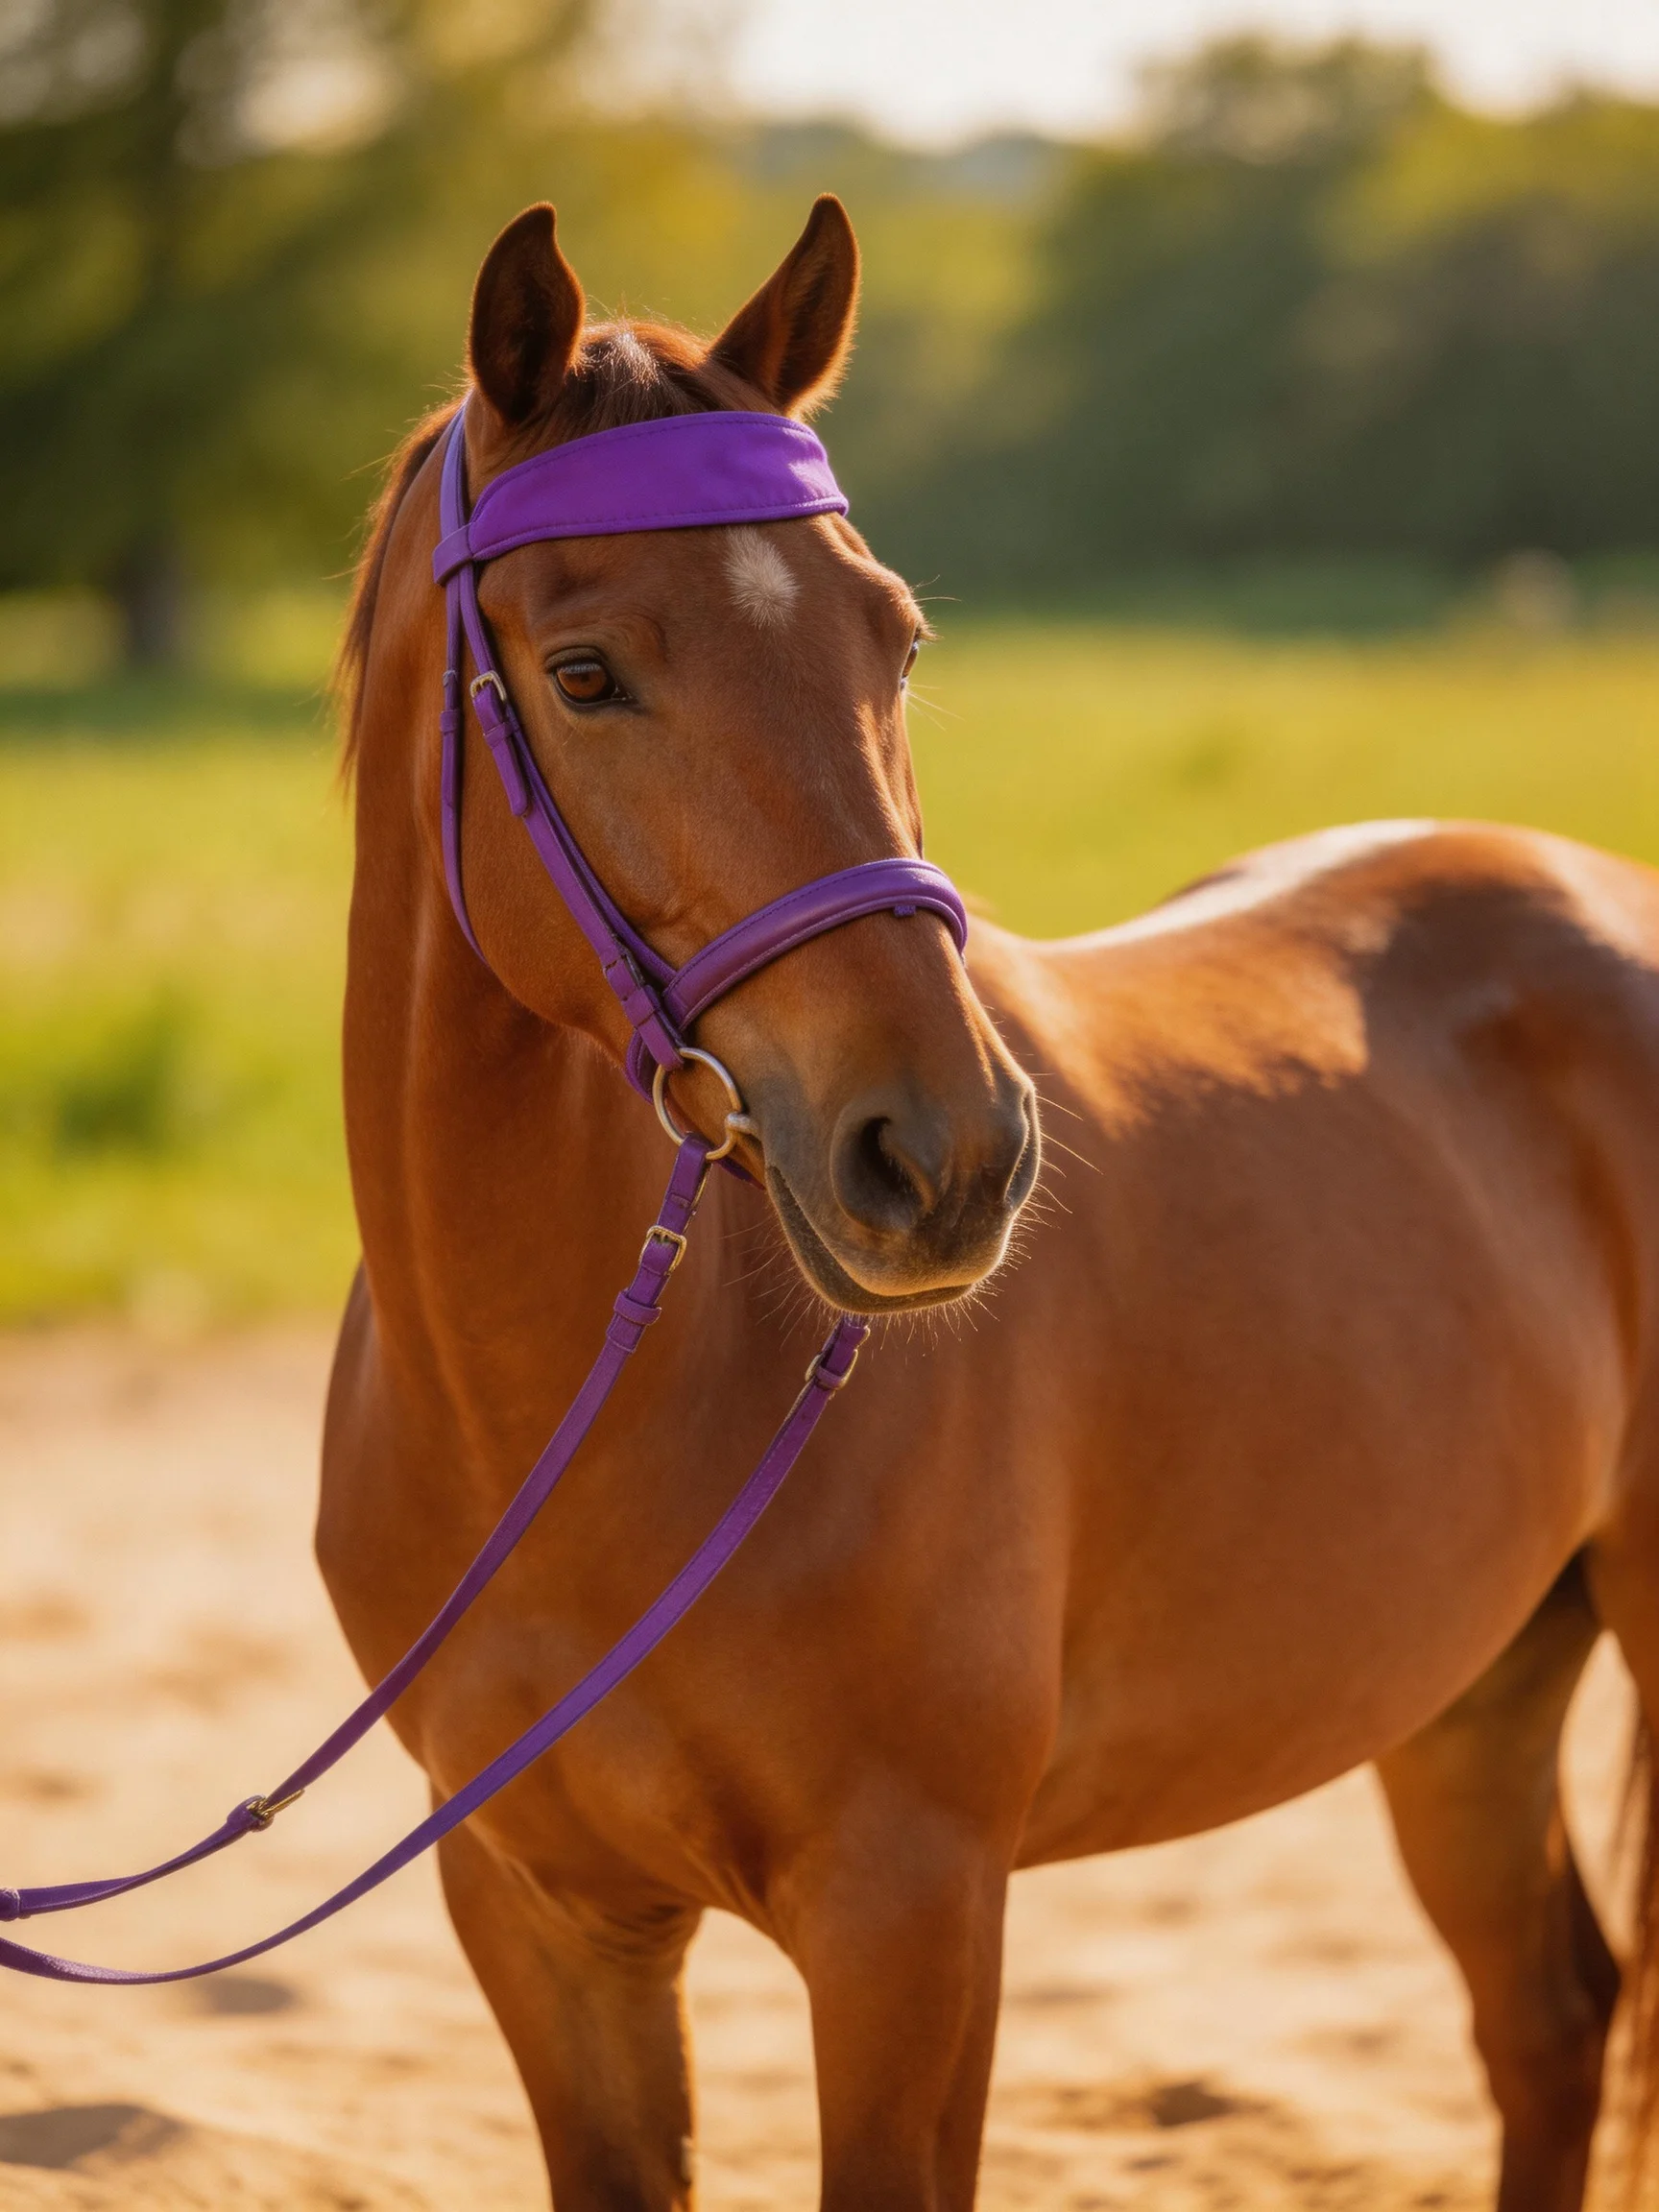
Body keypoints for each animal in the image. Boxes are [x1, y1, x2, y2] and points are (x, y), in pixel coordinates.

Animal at [323, 191, 1659, 2212]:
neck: (561, 1423)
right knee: (1546, 2012)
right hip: (1466, 1690)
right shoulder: (542, 1916)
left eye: (891, 638)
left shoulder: (912, 1914)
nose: (943, 1159)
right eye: (582, 672)